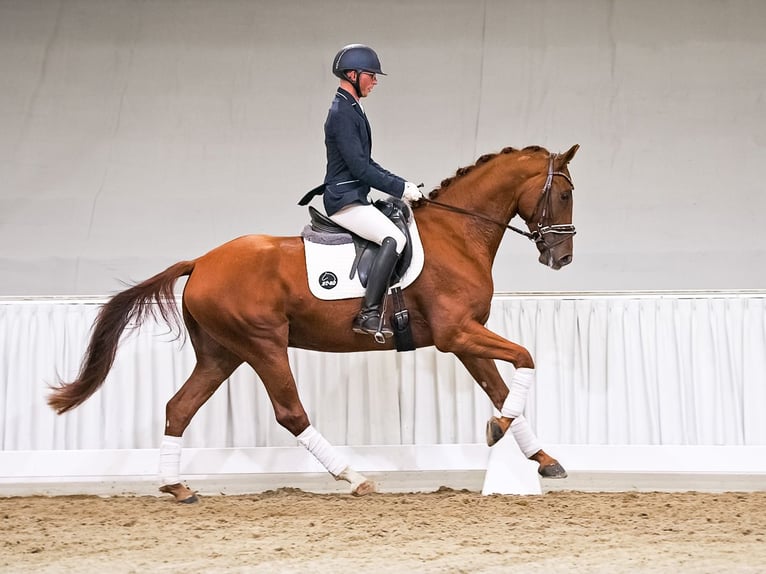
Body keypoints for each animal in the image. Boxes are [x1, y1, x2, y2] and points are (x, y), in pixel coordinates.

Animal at [48, 143, 579, 503]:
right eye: (565, 194)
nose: (563, 258)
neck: (457, 233)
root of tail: (200, 262)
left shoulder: (467, 337)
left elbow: (501, 387)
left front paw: (541, 457)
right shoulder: (456, 334)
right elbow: (525, 359)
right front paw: (500, 430)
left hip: (222, 353)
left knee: (179, 407)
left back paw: (177, 486)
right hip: (262, 344)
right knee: (290, 414)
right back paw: (354, 477)